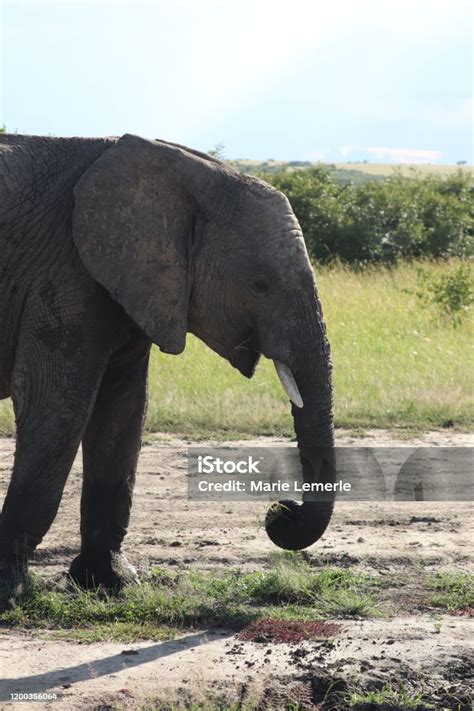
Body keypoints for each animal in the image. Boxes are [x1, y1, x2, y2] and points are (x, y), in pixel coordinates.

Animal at [0, 132, 334, 588]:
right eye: (260, 286)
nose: (280, 511)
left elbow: (123, 411)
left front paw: (111, 582)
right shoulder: (64, 274)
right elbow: (57, 404)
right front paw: (10, 588)